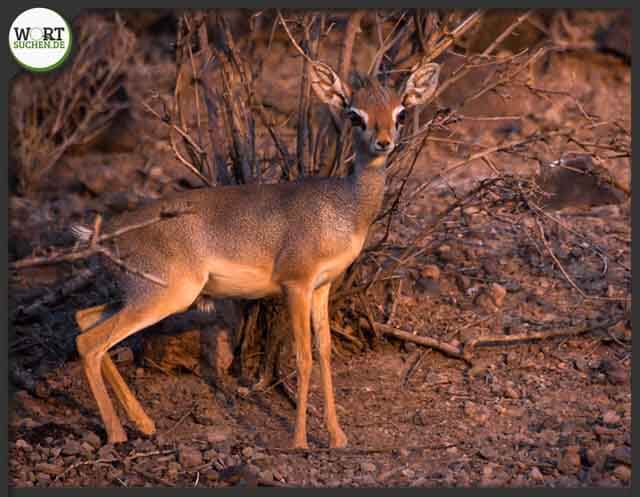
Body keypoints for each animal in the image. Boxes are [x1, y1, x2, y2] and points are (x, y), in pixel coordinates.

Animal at [71, 57, 440, 446]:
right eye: (355, 115)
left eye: (400, 112)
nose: (384, 142)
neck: (343, 207)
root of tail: (105, 233)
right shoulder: (296, 284)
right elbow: (303, 356)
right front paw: (299, 441)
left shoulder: (322, 286)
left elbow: (324, 352)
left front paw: (337, 436)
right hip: (166, 295)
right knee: (89, 342)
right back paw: (117, 434)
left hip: (142, 295)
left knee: (84, 319)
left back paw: (143, 424)